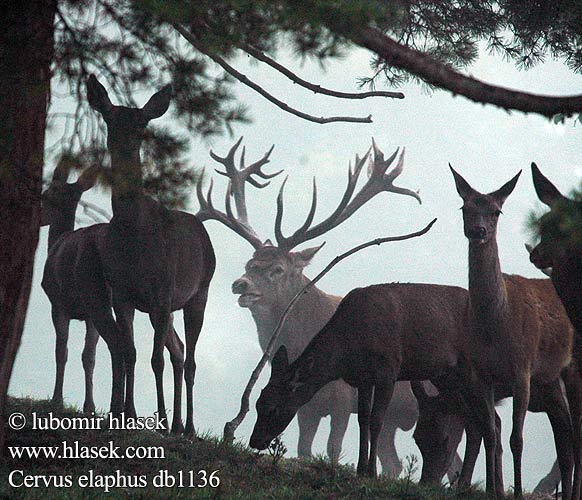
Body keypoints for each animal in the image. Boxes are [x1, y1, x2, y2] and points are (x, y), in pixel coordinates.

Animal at [85, 75, 216, 434]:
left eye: (142, 122)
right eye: (109, 116)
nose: (124, 143)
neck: (133, 234)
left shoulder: (161, 290)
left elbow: (154, 359)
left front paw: (158, 419)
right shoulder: (122, 293)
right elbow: (129, 353)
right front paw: (126, 415)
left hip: (198, 293)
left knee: (190, 358)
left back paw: (187, 426)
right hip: (169, 307)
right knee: (179, 350)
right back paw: (177, 423)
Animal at [452, 167, 580, 500]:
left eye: (496, 211)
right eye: (465, 207)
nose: (479, 230)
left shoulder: (522, 369)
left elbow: (516, 439)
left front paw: (518, 491)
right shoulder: (481, 373)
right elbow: (490, 434)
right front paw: (492, 491)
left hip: (572, 370)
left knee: (576, 434)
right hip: (551, 385)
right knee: (567, 442)